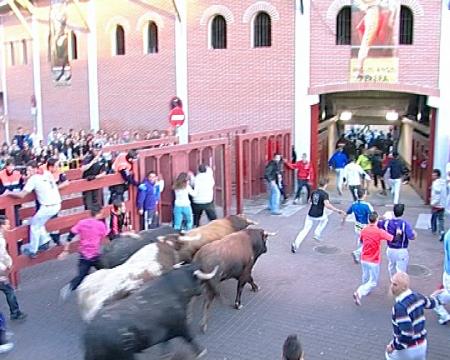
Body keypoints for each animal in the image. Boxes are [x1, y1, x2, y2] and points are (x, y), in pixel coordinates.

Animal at [85, 262, 218, 358]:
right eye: (198, 280)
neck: (173, 289)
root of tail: (91, 334)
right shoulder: (181, 326)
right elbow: (190, 338)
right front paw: (201, 351)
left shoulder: (168, 332)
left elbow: (166, 345)